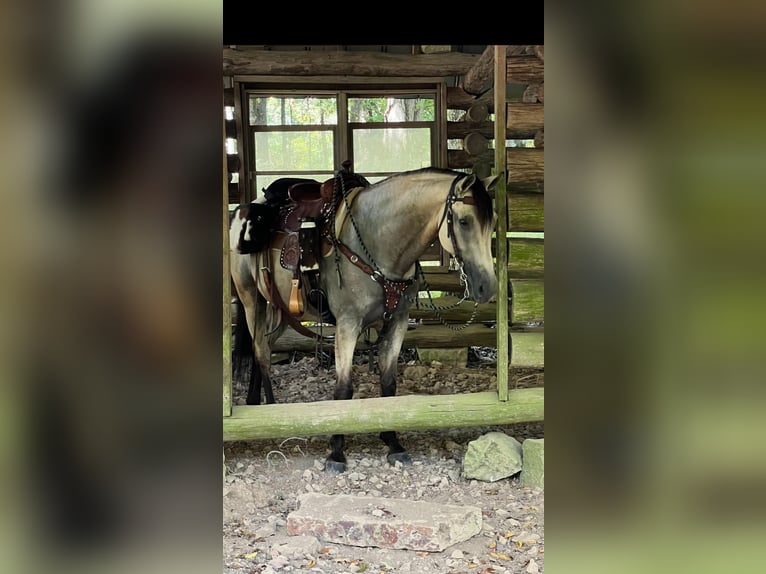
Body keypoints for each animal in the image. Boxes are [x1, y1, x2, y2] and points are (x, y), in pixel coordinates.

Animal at [231, 165, 500, 472]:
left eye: (493, 222)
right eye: (464, 221)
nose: (487, 287)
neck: (378, 241)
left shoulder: (397, 321)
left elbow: (388, 383)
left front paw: (393, 442)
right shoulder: (348, 324)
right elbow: (344, 389)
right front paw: (336, 452)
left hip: (281, 309)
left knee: (261, 347)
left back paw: (255, 402)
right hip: (251, 300)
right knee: (261, 353)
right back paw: (271, 409)